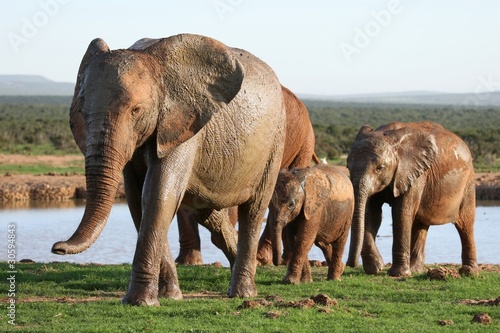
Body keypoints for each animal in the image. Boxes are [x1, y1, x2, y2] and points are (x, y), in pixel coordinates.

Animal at [51, 33, 288, 304]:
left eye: (136, 110)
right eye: (82, 110)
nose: (57, 247)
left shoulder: (182, 123)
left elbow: (157, 195)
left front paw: (139, 302)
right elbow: (138, 199)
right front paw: (169, 296)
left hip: (275, 138)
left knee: (254, 209)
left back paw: (242, 293)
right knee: (205, 212)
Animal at [346, 120, 478, 276]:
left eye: (380, 167)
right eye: (348, 167)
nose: (349, 264)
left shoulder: (414, 174)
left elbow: (401, 213)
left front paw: (398, 274)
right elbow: (372, 214)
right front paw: (375, 268)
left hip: (468, 182)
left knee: (465, 224)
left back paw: (469, 271)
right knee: (420, 223)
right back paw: (416, 269)